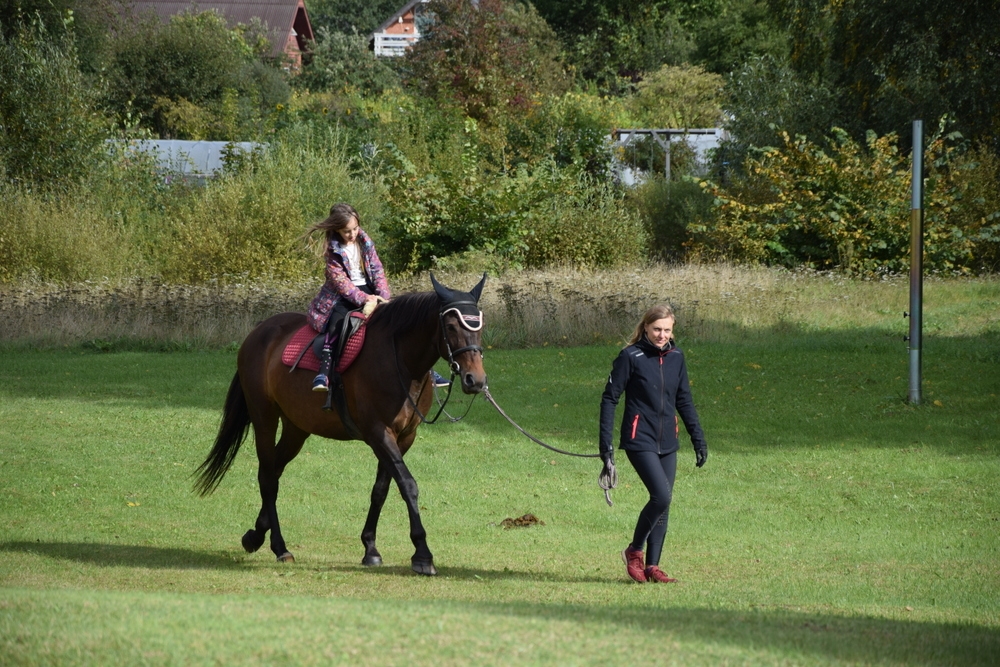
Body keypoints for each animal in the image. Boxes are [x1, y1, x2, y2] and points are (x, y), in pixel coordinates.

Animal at [192, 274, 488, 576]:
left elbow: (381, 490)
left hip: (296, 428)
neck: (400, 362)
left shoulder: (404, 436)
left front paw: (370, 548)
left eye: (479, 325)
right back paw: (279, 547)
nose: (475, 380)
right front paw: (422, 555)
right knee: (267, 477)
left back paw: (256, 535)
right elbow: (408, 485)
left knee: (274, 470)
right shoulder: (379, 433)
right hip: (264, 417)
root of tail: (257, 333)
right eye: (451, 326)